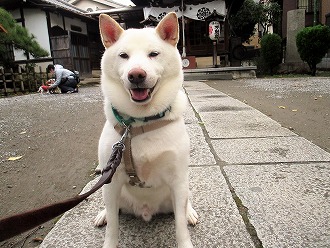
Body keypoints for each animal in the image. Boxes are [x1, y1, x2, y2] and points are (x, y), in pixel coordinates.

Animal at [94, 12, 199, 247]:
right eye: (123, 55)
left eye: (154, 54)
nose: (136, 75)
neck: (140, 122)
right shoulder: (111, 179)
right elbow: (113, 227)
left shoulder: (177, 178)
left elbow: (180, 225)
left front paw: (185, 237)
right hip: (111, 189)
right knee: (110, 207)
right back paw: (103, 214)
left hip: (180, 187)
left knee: (185, 202)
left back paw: (190, 212)